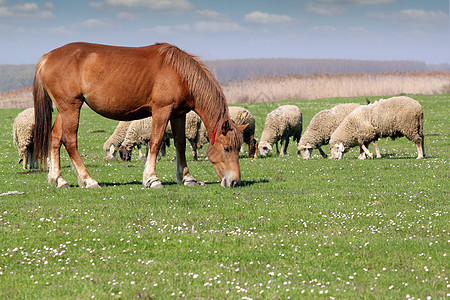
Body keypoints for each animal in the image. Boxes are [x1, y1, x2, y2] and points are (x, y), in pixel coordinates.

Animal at [33, 42, 246, 188]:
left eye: (238, 147)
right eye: (227, 148)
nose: (234, 181)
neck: (179, 73)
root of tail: (47, 57)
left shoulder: (178, 114)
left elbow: (180, 144)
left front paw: (187, 177)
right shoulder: (162, 111)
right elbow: (155, 142)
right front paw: (152, 179)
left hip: (64, 110)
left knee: (55, 138)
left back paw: (59, 180)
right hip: (71, 108)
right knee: (69, 141)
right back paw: (88, 180)